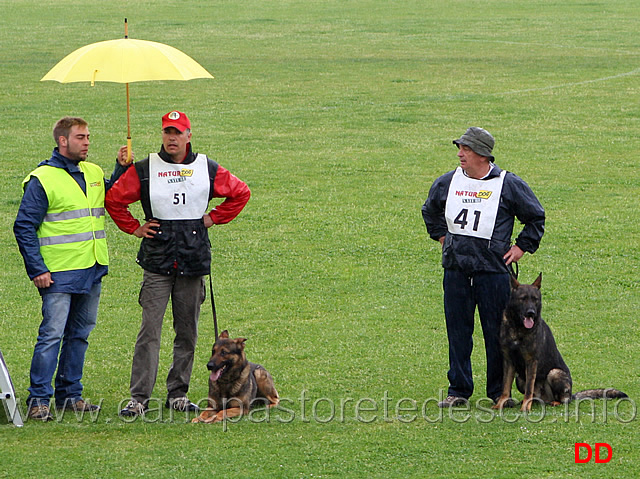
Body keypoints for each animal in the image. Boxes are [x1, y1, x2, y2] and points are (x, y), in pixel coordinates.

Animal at [496, 274, 624, 412]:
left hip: (554, 373)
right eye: (523, 299)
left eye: (535, 299)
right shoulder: (509, 361)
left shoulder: (531, 362)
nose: (531, 313)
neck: (518, 327)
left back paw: (553, 402)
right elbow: (505, 387)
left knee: (563, 400)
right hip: (519, 378)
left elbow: (529, 389)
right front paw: (499, 405)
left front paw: (525, 407)